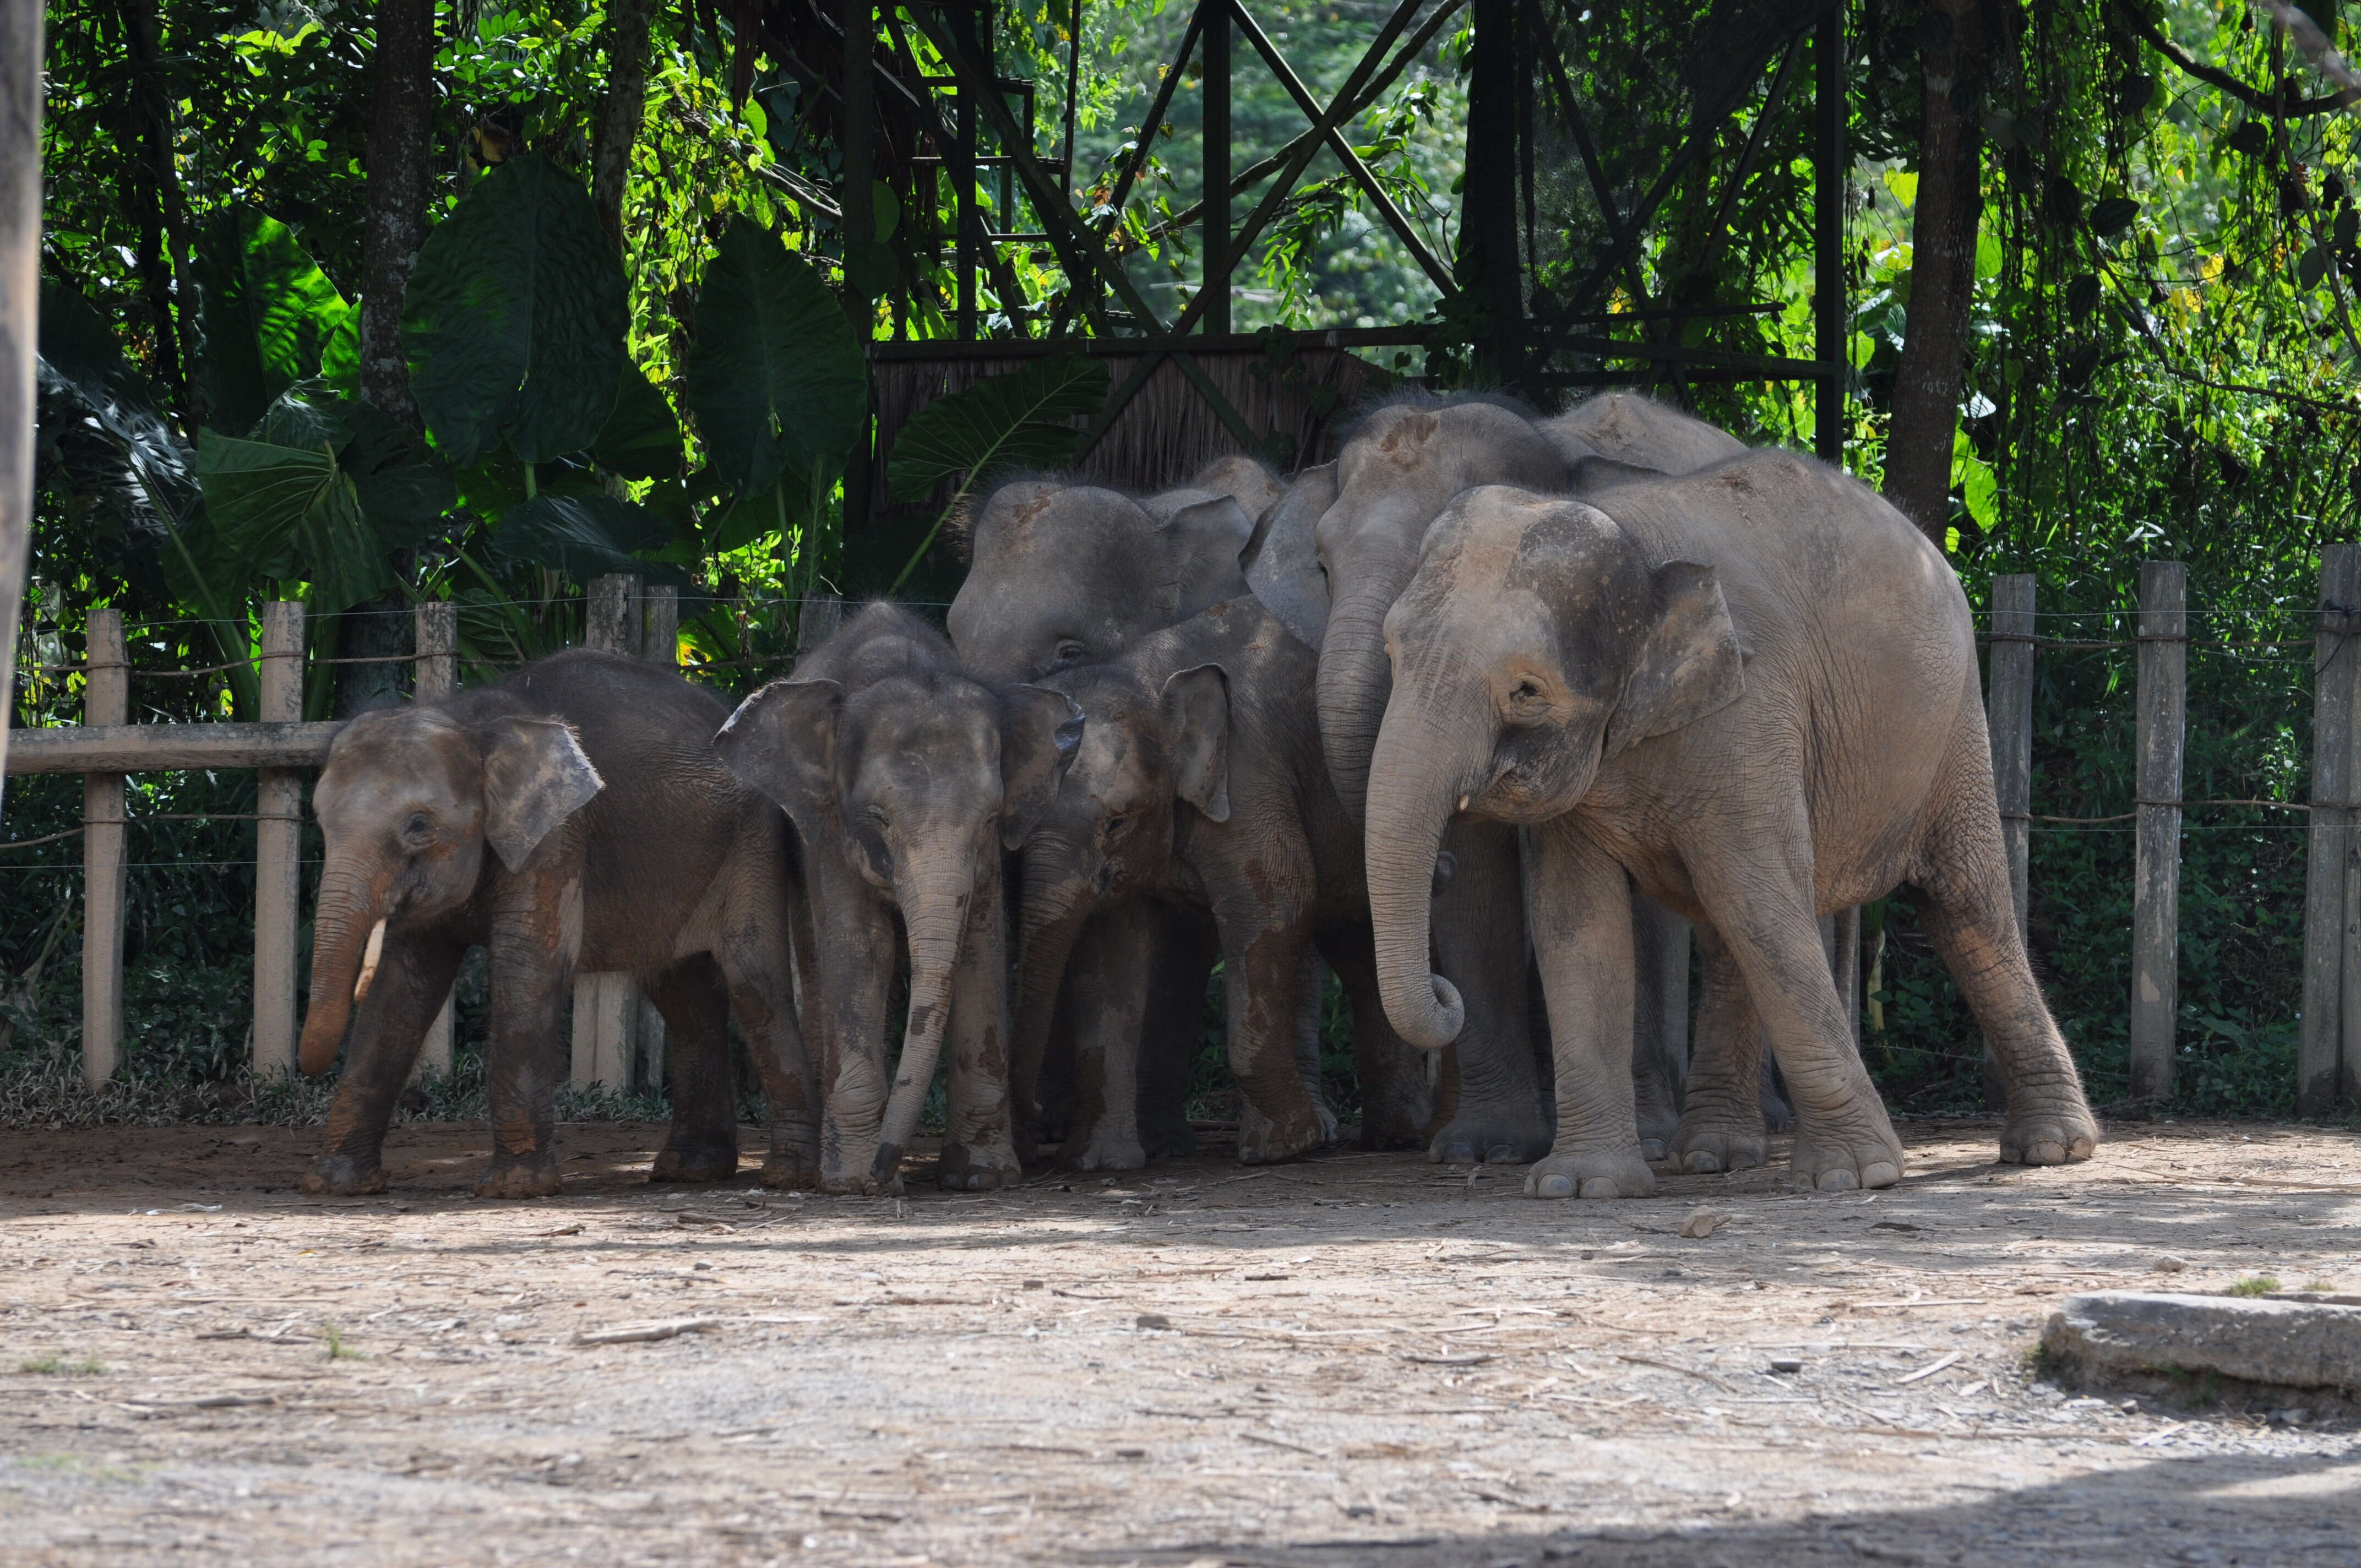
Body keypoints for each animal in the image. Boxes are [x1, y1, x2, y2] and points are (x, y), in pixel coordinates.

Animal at [295, 647, 822, 1199]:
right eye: (320, 819)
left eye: (418, 827)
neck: (472, 723)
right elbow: (402, 988)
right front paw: (335, 1185)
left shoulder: (558, 835)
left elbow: (529, 967)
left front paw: (514, 1189)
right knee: (685, 999)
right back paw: (690, 1170)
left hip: (752, 846)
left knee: (753, 985)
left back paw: (786, 1176)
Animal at [712, 600, 1081, 1190]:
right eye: (877, 818)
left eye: (991, 819)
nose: (886, 1171)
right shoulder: (831, 828)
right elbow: (863, 948)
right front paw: (854, 1183)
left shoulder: (987, 859)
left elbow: (978, 950)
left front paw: (983, 1177)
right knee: (815, 956)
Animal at [1010, 597, 1426, 1162]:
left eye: (1117, 823)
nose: (1036, 1119)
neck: (1147, 677)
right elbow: (1111, 952)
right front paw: (1100, 1163)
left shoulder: (1252, 775)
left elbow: (1276, 903)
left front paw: (1282, 1148)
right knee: (1359, 950)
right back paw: (1397, 1135)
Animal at [1369, 455, 2106, 1199]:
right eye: (1391, 653)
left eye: (1527, 691)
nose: (1446, 994)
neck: (1632, 538)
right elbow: (1577, 922)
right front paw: (1581, 1187)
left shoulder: (1753, 708)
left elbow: (1761, 900)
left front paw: (1855, 1175)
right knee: (1729, 923)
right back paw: (1713, 1157)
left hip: (1952, 728)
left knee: (1960, 903)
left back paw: (2051, 1148)